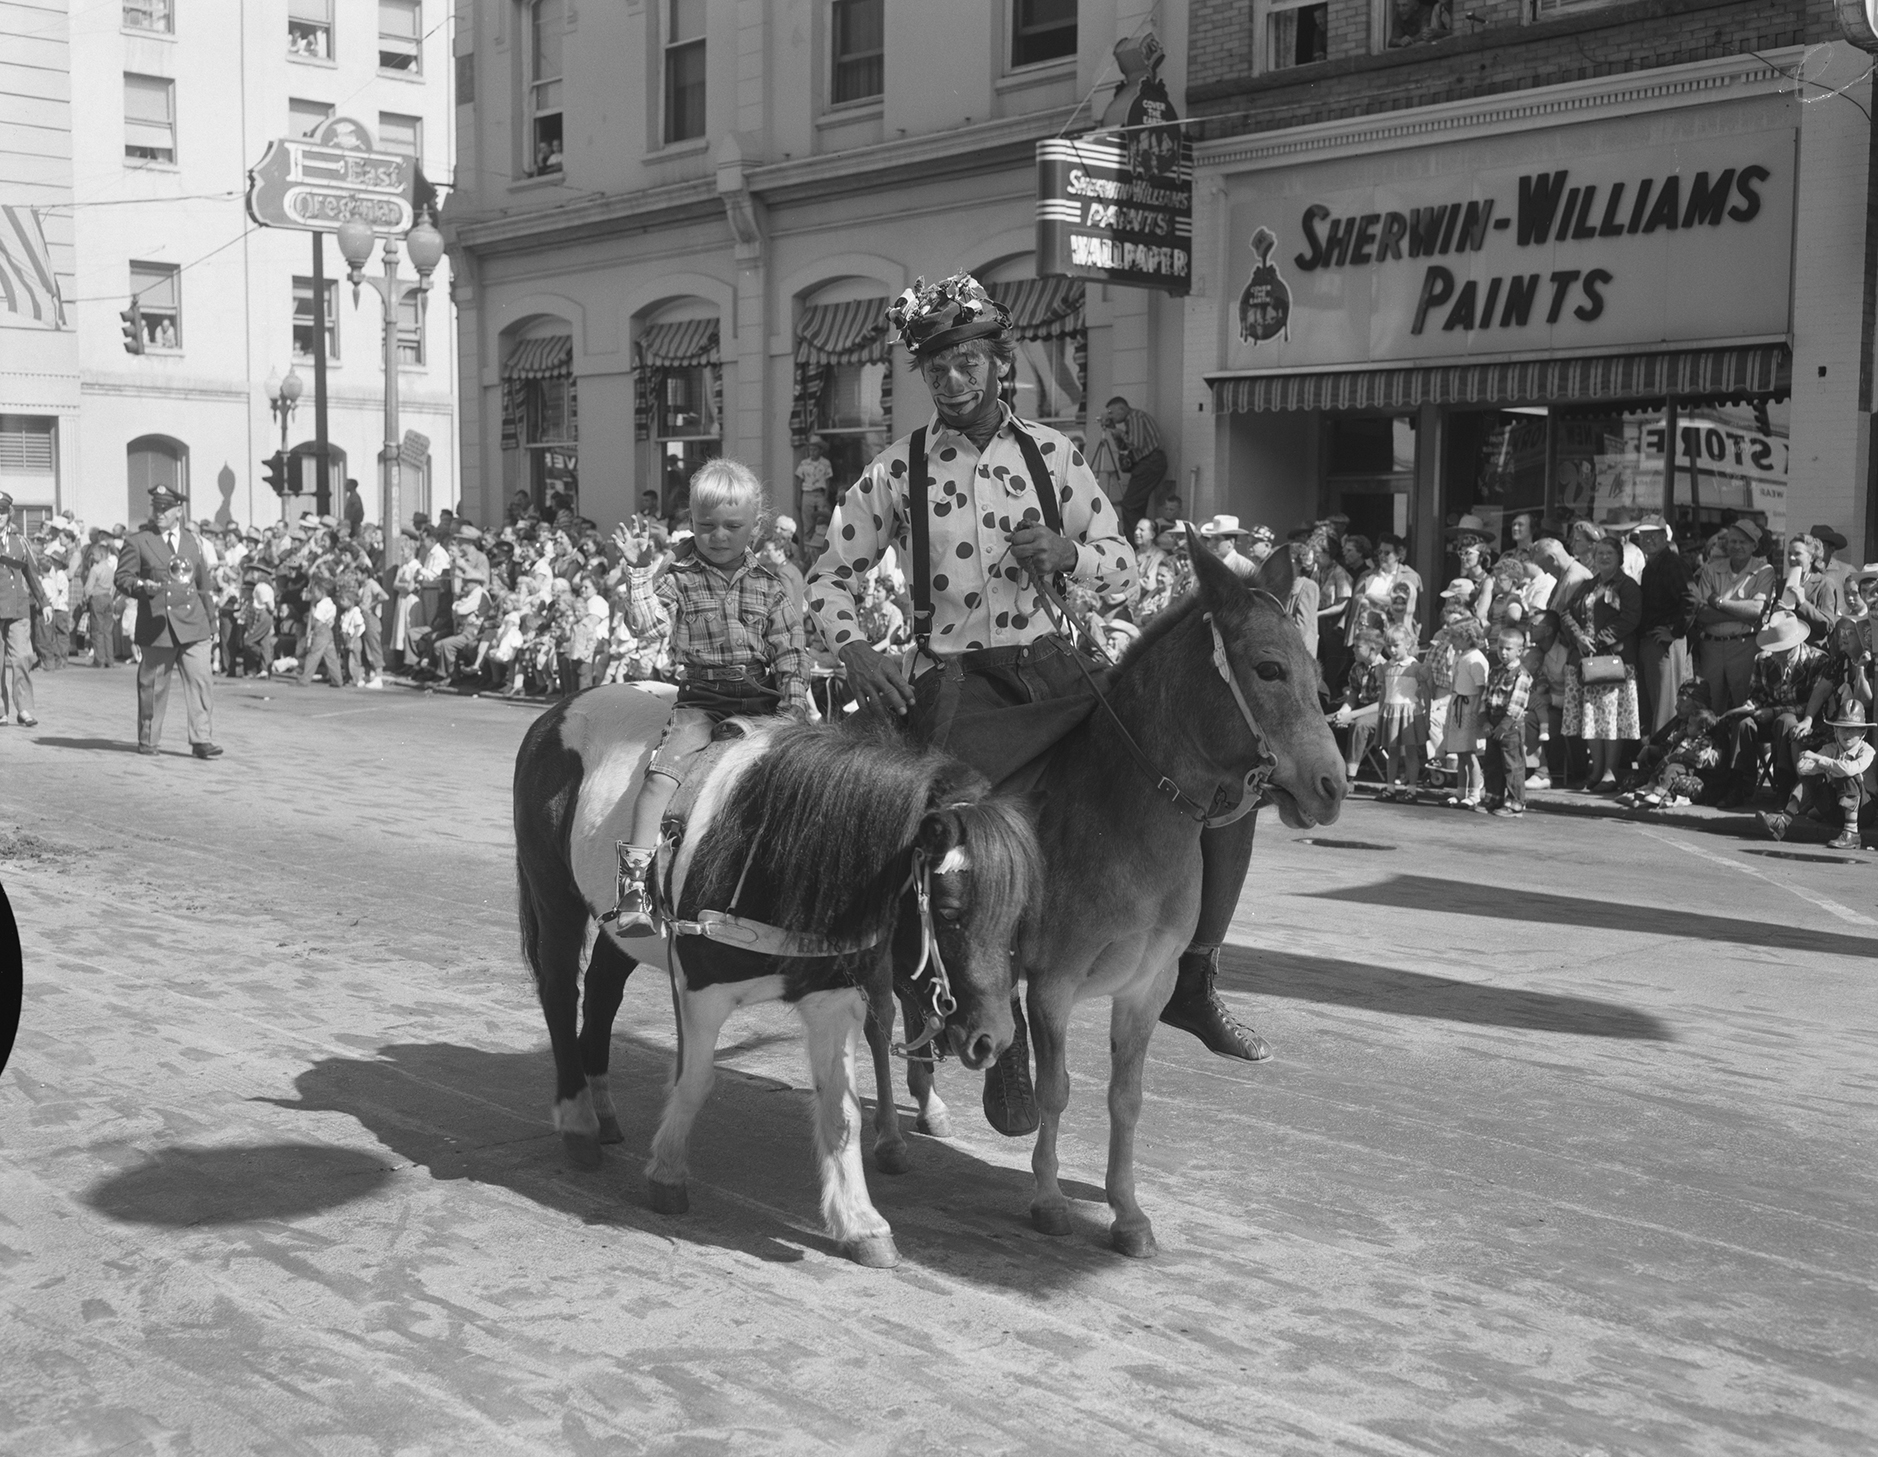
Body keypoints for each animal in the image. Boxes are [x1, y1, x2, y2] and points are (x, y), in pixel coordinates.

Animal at [514, 683, 1044, 1261]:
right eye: (947, 911)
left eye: (1019, 913)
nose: (993, 1039)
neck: (774, 851)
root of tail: (559, 711)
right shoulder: (701, 990)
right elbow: (694, 1081)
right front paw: (667, 1174)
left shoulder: (835, 1000)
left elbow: (841, 1109)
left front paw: (861, 1223)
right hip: (555, 895)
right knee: (560, 992)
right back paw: (579, 1121)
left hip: (622, 935)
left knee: (603, 993)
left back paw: (603, 1108)